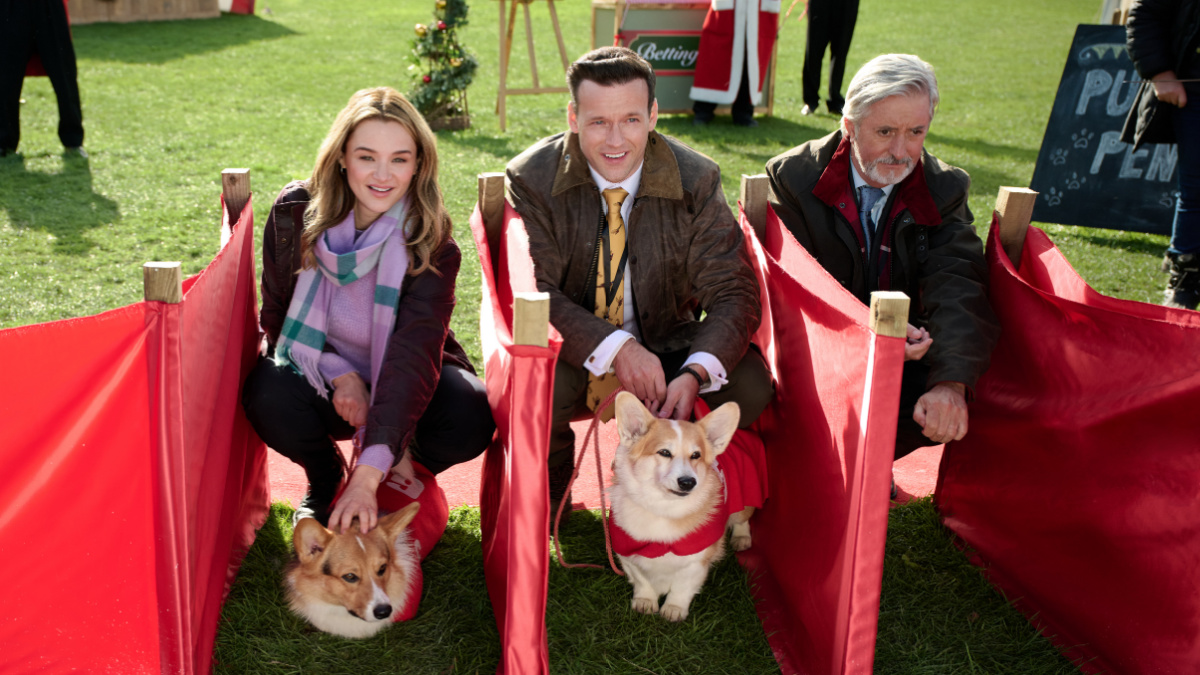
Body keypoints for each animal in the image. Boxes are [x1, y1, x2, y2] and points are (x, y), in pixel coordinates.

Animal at [609, 391, 748, 624]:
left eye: (696, 455)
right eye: (664, 452)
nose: (688, 482)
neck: (662, 507)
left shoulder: (696, 561)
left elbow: (682, 588)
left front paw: (673, 609)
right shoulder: (627, 553)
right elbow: (642, 580)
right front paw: (645, 602)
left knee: (743, 519)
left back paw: (742, 538)